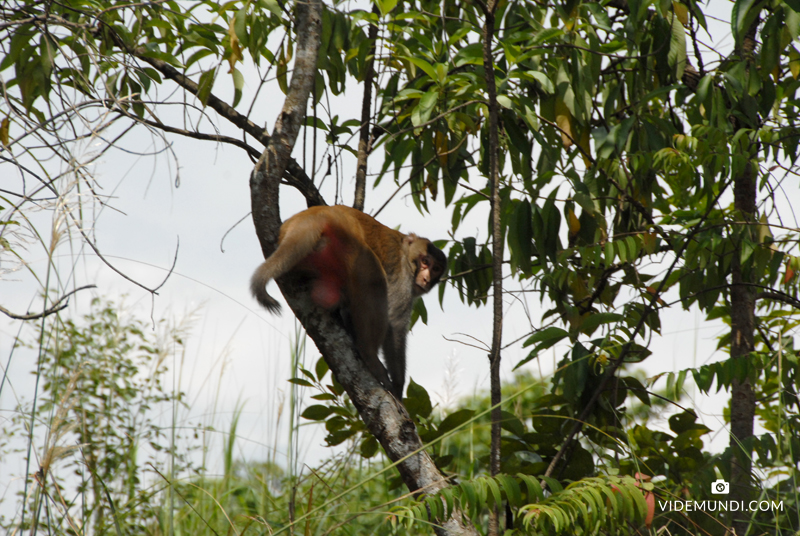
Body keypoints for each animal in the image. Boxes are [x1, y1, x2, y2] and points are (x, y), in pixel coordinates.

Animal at [252, 205, 444, 398]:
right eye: (424, 261)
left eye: (435, 268)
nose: (426, 279)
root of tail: (318, 215)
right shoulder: (402, 275)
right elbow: (395, 326)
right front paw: (398, 386)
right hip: (347, 239)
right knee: (372, 276)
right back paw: (368, 353)